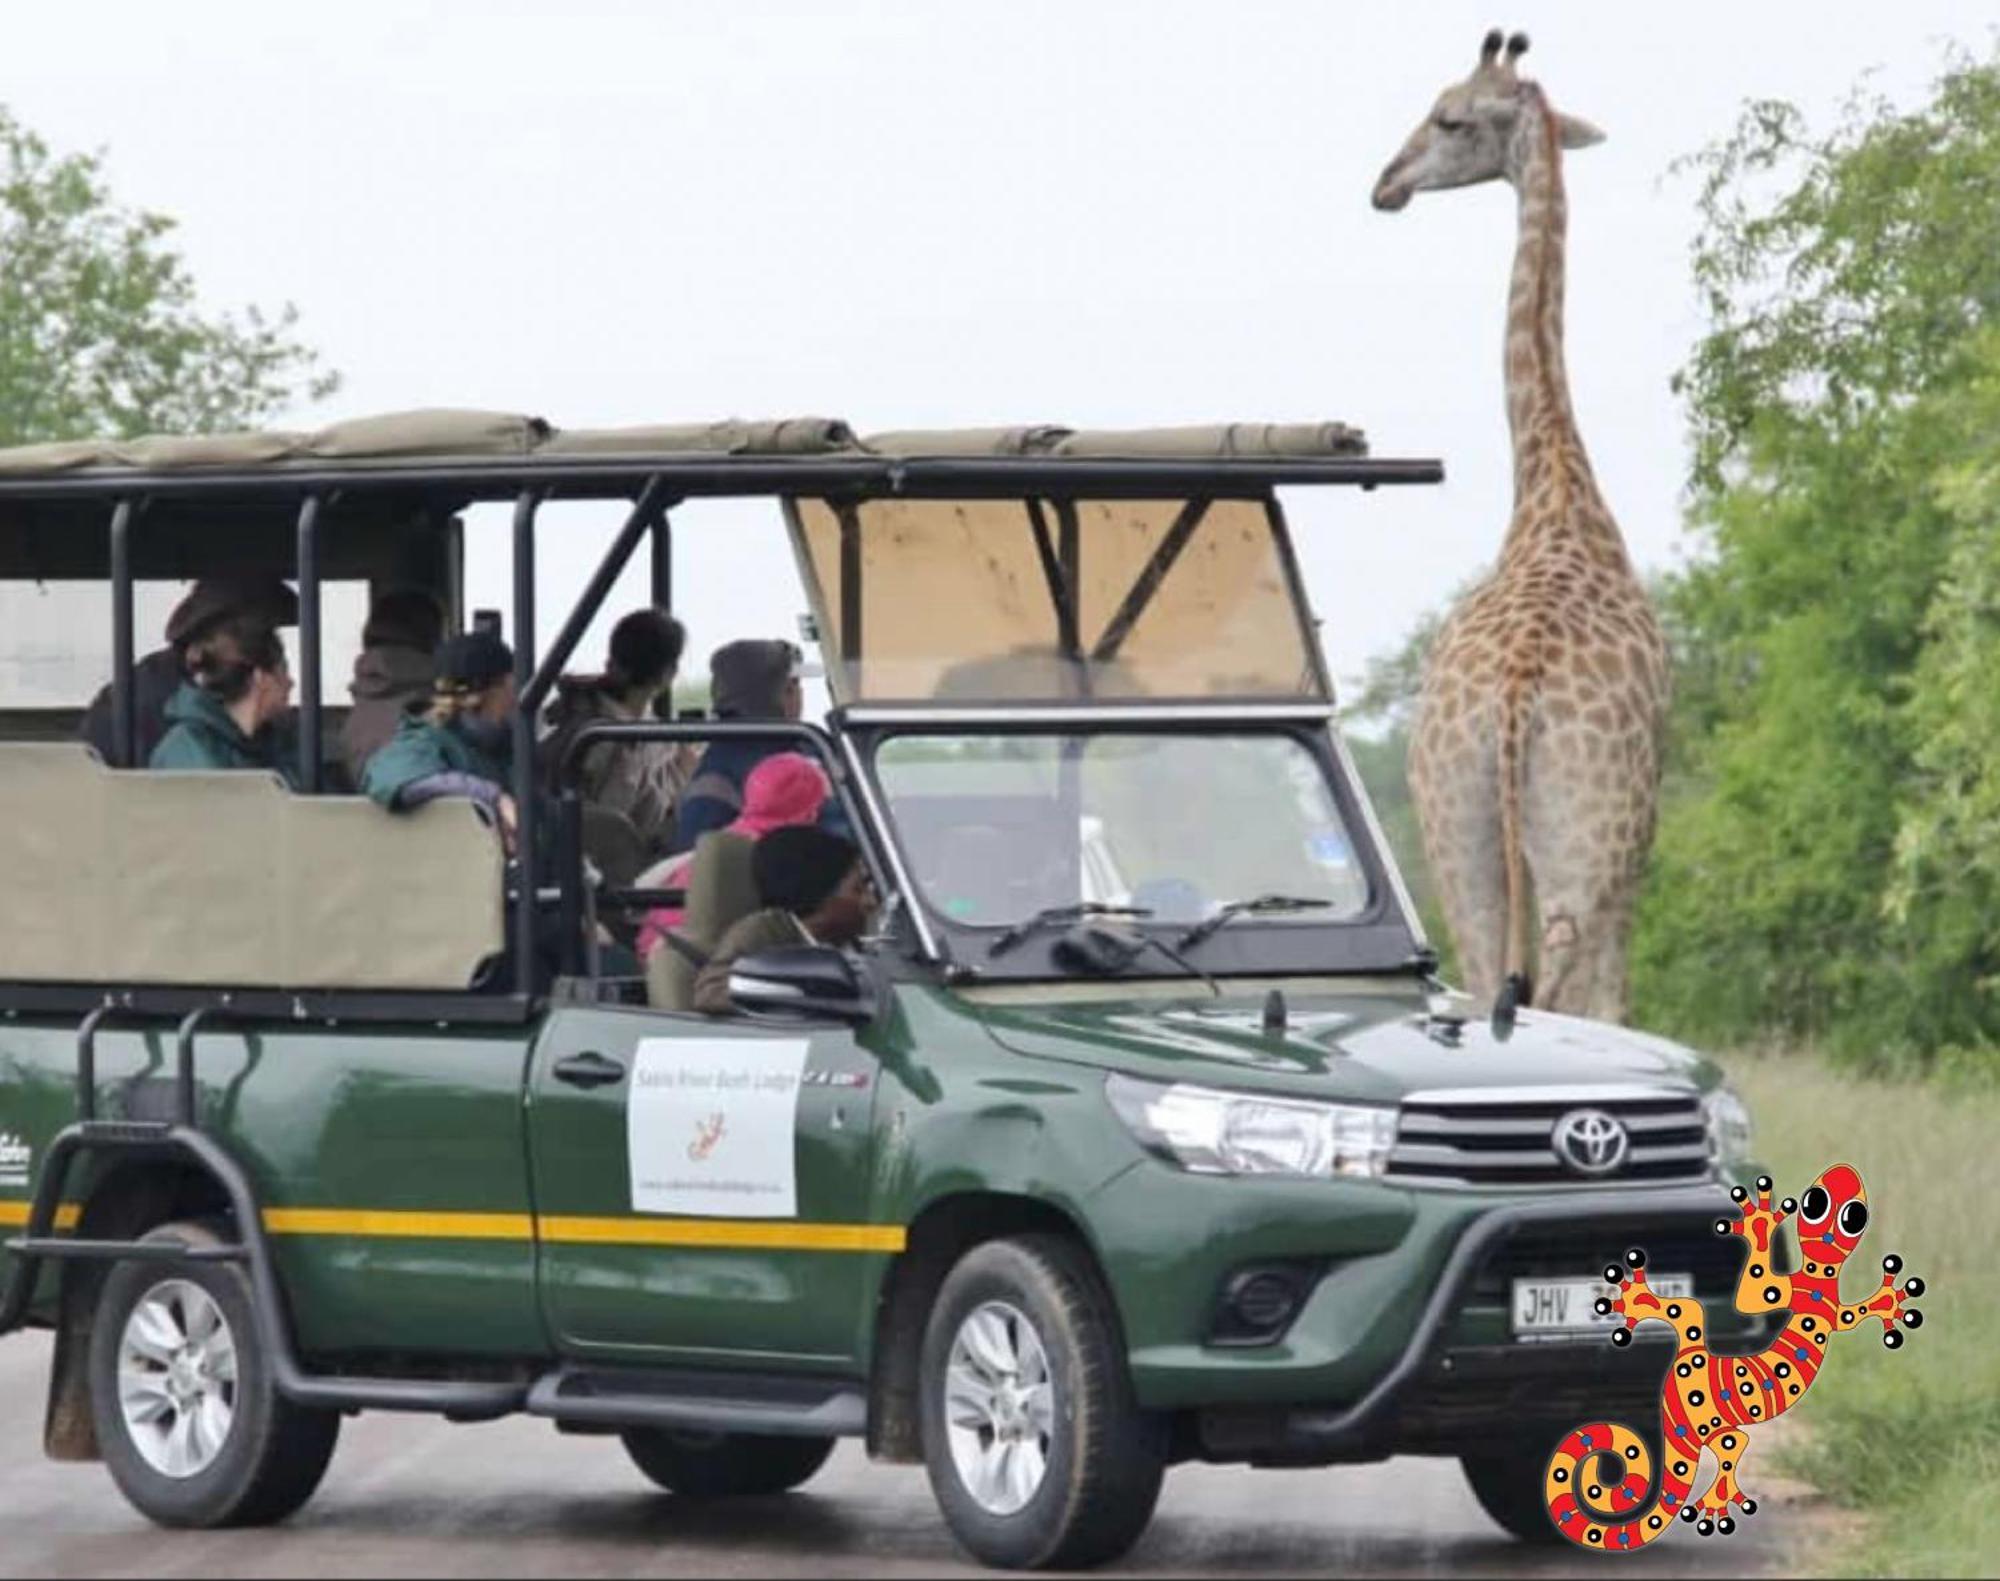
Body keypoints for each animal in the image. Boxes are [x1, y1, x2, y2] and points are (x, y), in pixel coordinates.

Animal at [1368, 37, 1664, 1032]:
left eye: (1450, 117)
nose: (1385, 183)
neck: (1553, 484)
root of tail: (1512, 699)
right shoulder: (1636, 844)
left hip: (1454, 823)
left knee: (1486, 963)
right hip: (1586, 838)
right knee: (1575, 990)